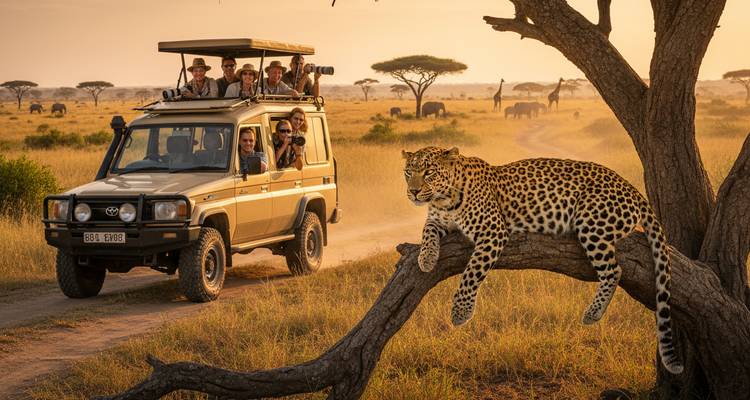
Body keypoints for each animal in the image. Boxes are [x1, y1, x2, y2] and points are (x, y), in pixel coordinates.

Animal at [402, 146, 684, 375]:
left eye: (428, 172)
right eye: (408, 172)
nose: (413, 192)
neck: (444, 199)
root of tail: (631, 188)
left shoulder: (493, 231)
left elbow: (471, 273)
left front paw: (460, 312)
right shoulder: (437, 220)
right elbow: (427, 231)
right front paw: (426, 259)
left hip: (591, 221)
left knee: (614, 270)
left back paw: (593, 313)